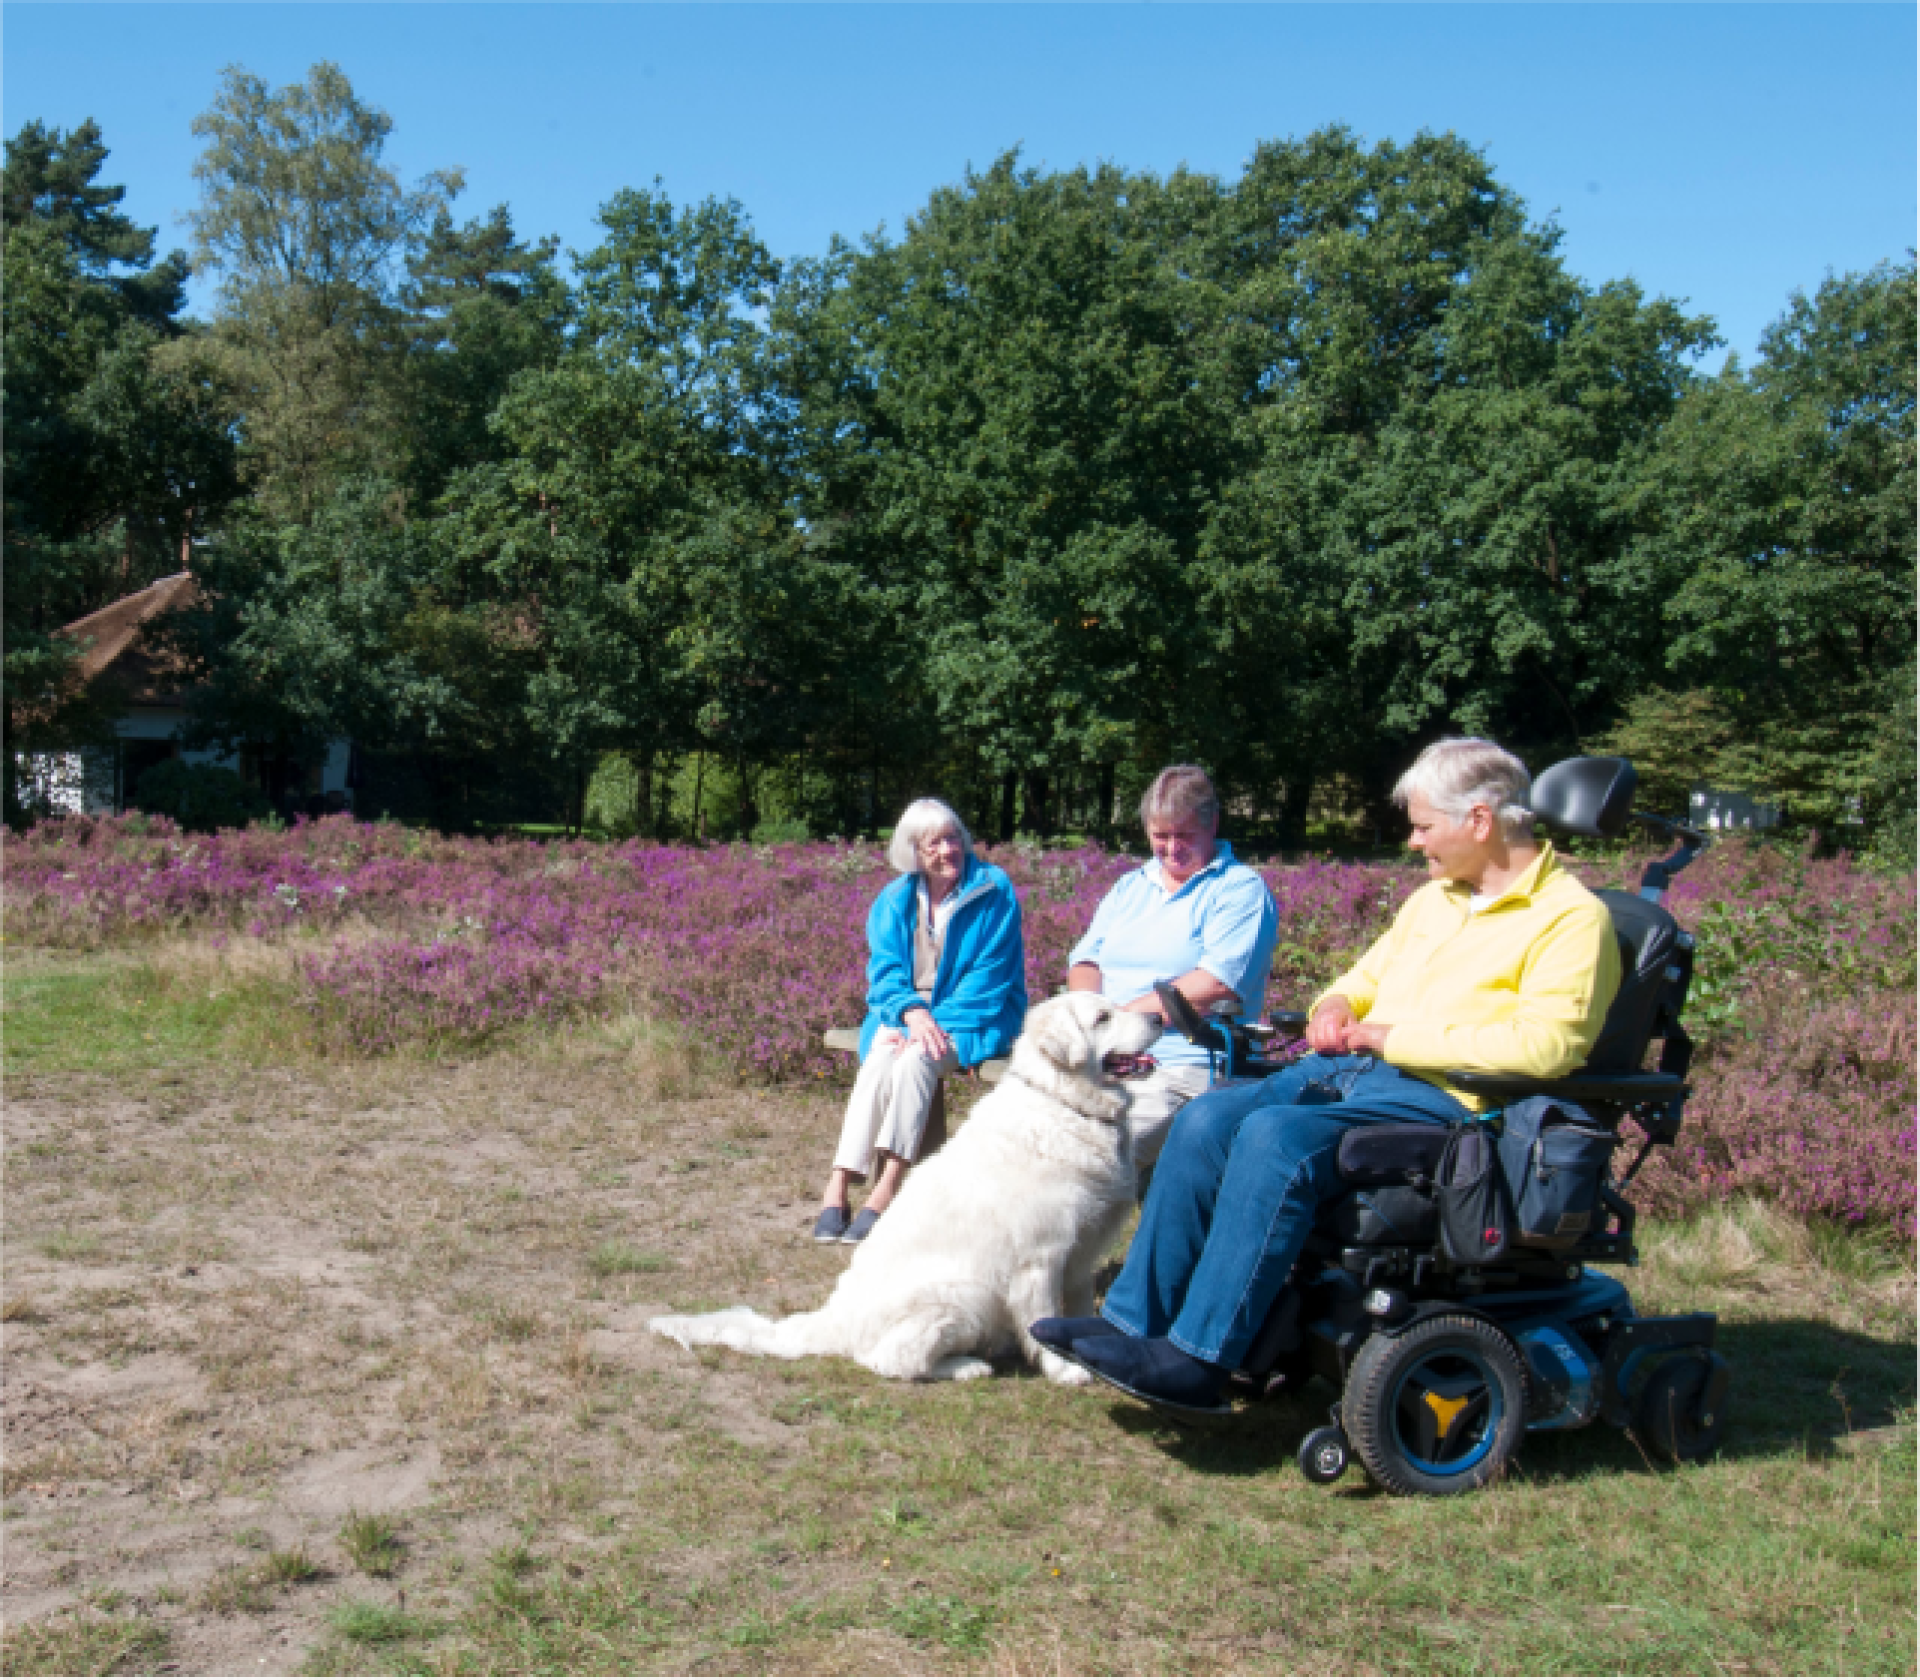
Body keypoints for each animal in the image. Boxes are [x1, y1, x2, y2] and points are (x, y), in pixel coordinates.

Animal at [648, 990, 1152, 1390]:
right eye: (1102, 1017)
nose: (1159, 1017)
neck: (1064, 1103)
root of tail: (833, 1320)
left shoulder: (1082, 1252)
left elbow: (1077, 1311)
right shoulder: (1041, 1258)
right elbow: (1043, 1322)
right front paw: (1063, 1369)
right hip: (963, 1293)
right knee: (891, 1360)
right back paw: (967, 1366)